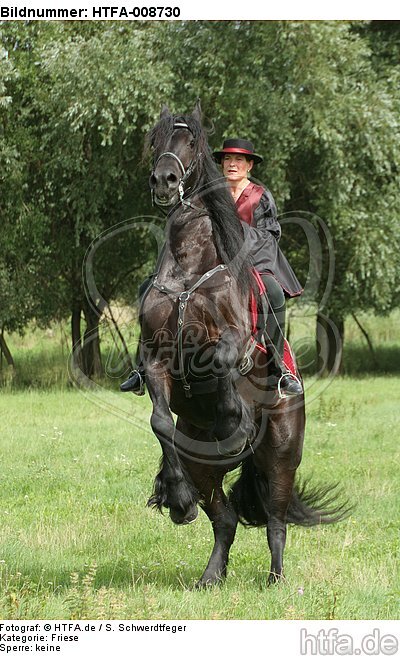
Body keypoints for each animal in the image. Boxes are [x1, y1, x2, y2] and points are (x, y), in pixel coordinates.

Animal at [139, 101, 349, 588]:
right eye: (156, 140)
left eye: (192, 141)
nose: (165, 181)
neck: (189, 271)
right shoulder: (155, 360)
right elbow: (160, 422)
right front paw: (177, 498)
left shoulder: (235, 342)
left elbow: (222, 362)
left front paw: (235, 425)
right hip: (204, 466)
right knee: (225, 519)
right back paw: (210, 576)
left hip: (282, 456)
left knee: (275, 520)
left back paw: (277, 579)